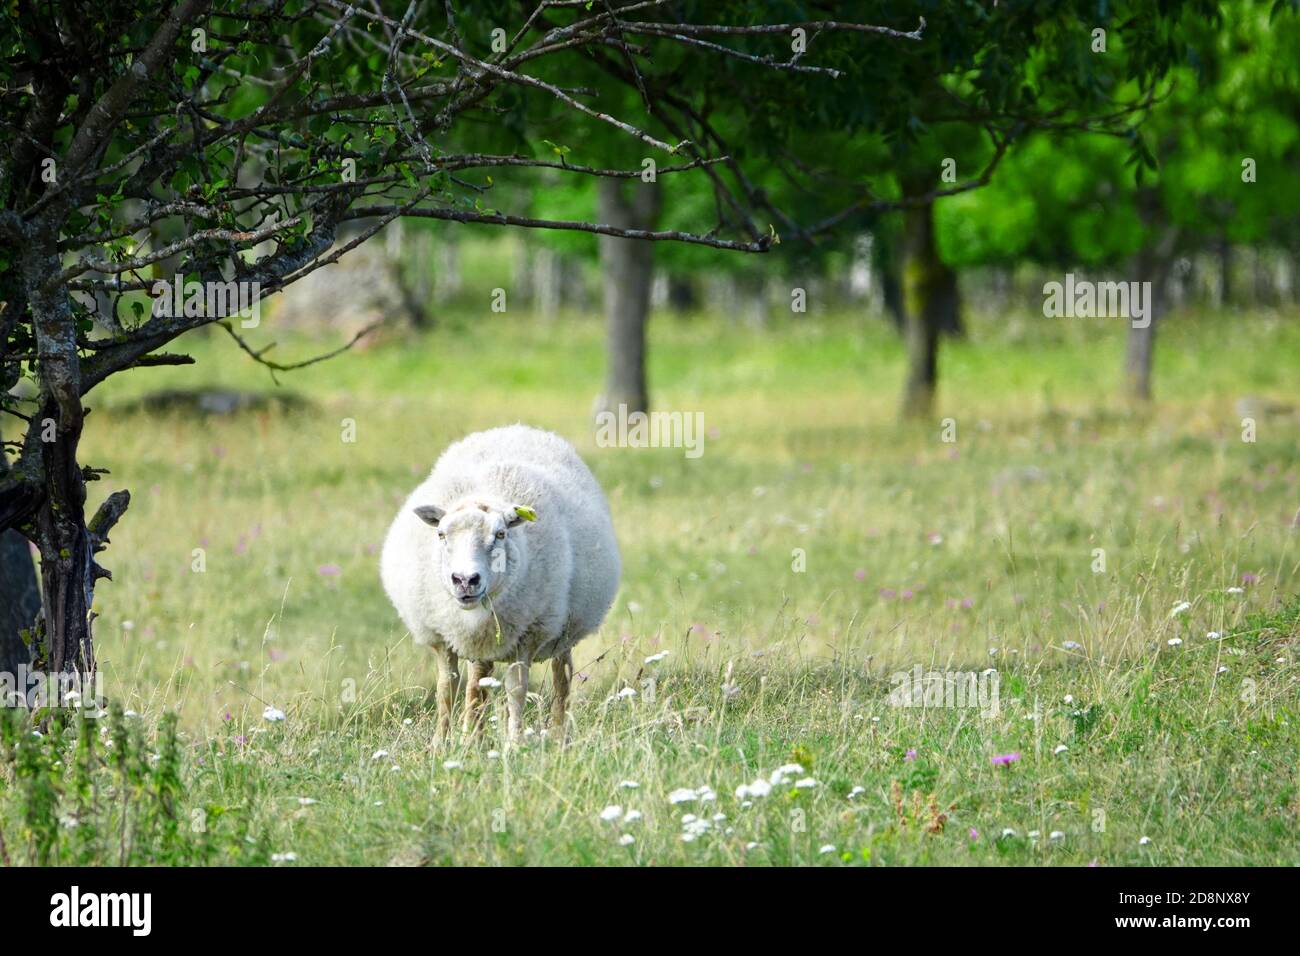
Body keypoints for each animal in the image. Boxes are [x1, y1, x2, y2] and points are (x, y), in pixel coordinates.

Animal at [379, 421, 621, 743]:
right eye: (441, 534)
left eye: (501, 534)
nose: (465, 580)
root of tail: (519, 428)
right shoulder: (441, 636)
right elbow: (447, 688)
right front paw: (441, 744)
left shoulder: (528, 634)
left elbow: (516, 689)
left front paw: (514, 743)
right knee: (478, 680)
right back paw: (474, 736)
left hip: (563, 628)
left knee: (561, 678)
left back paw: (558, 736)